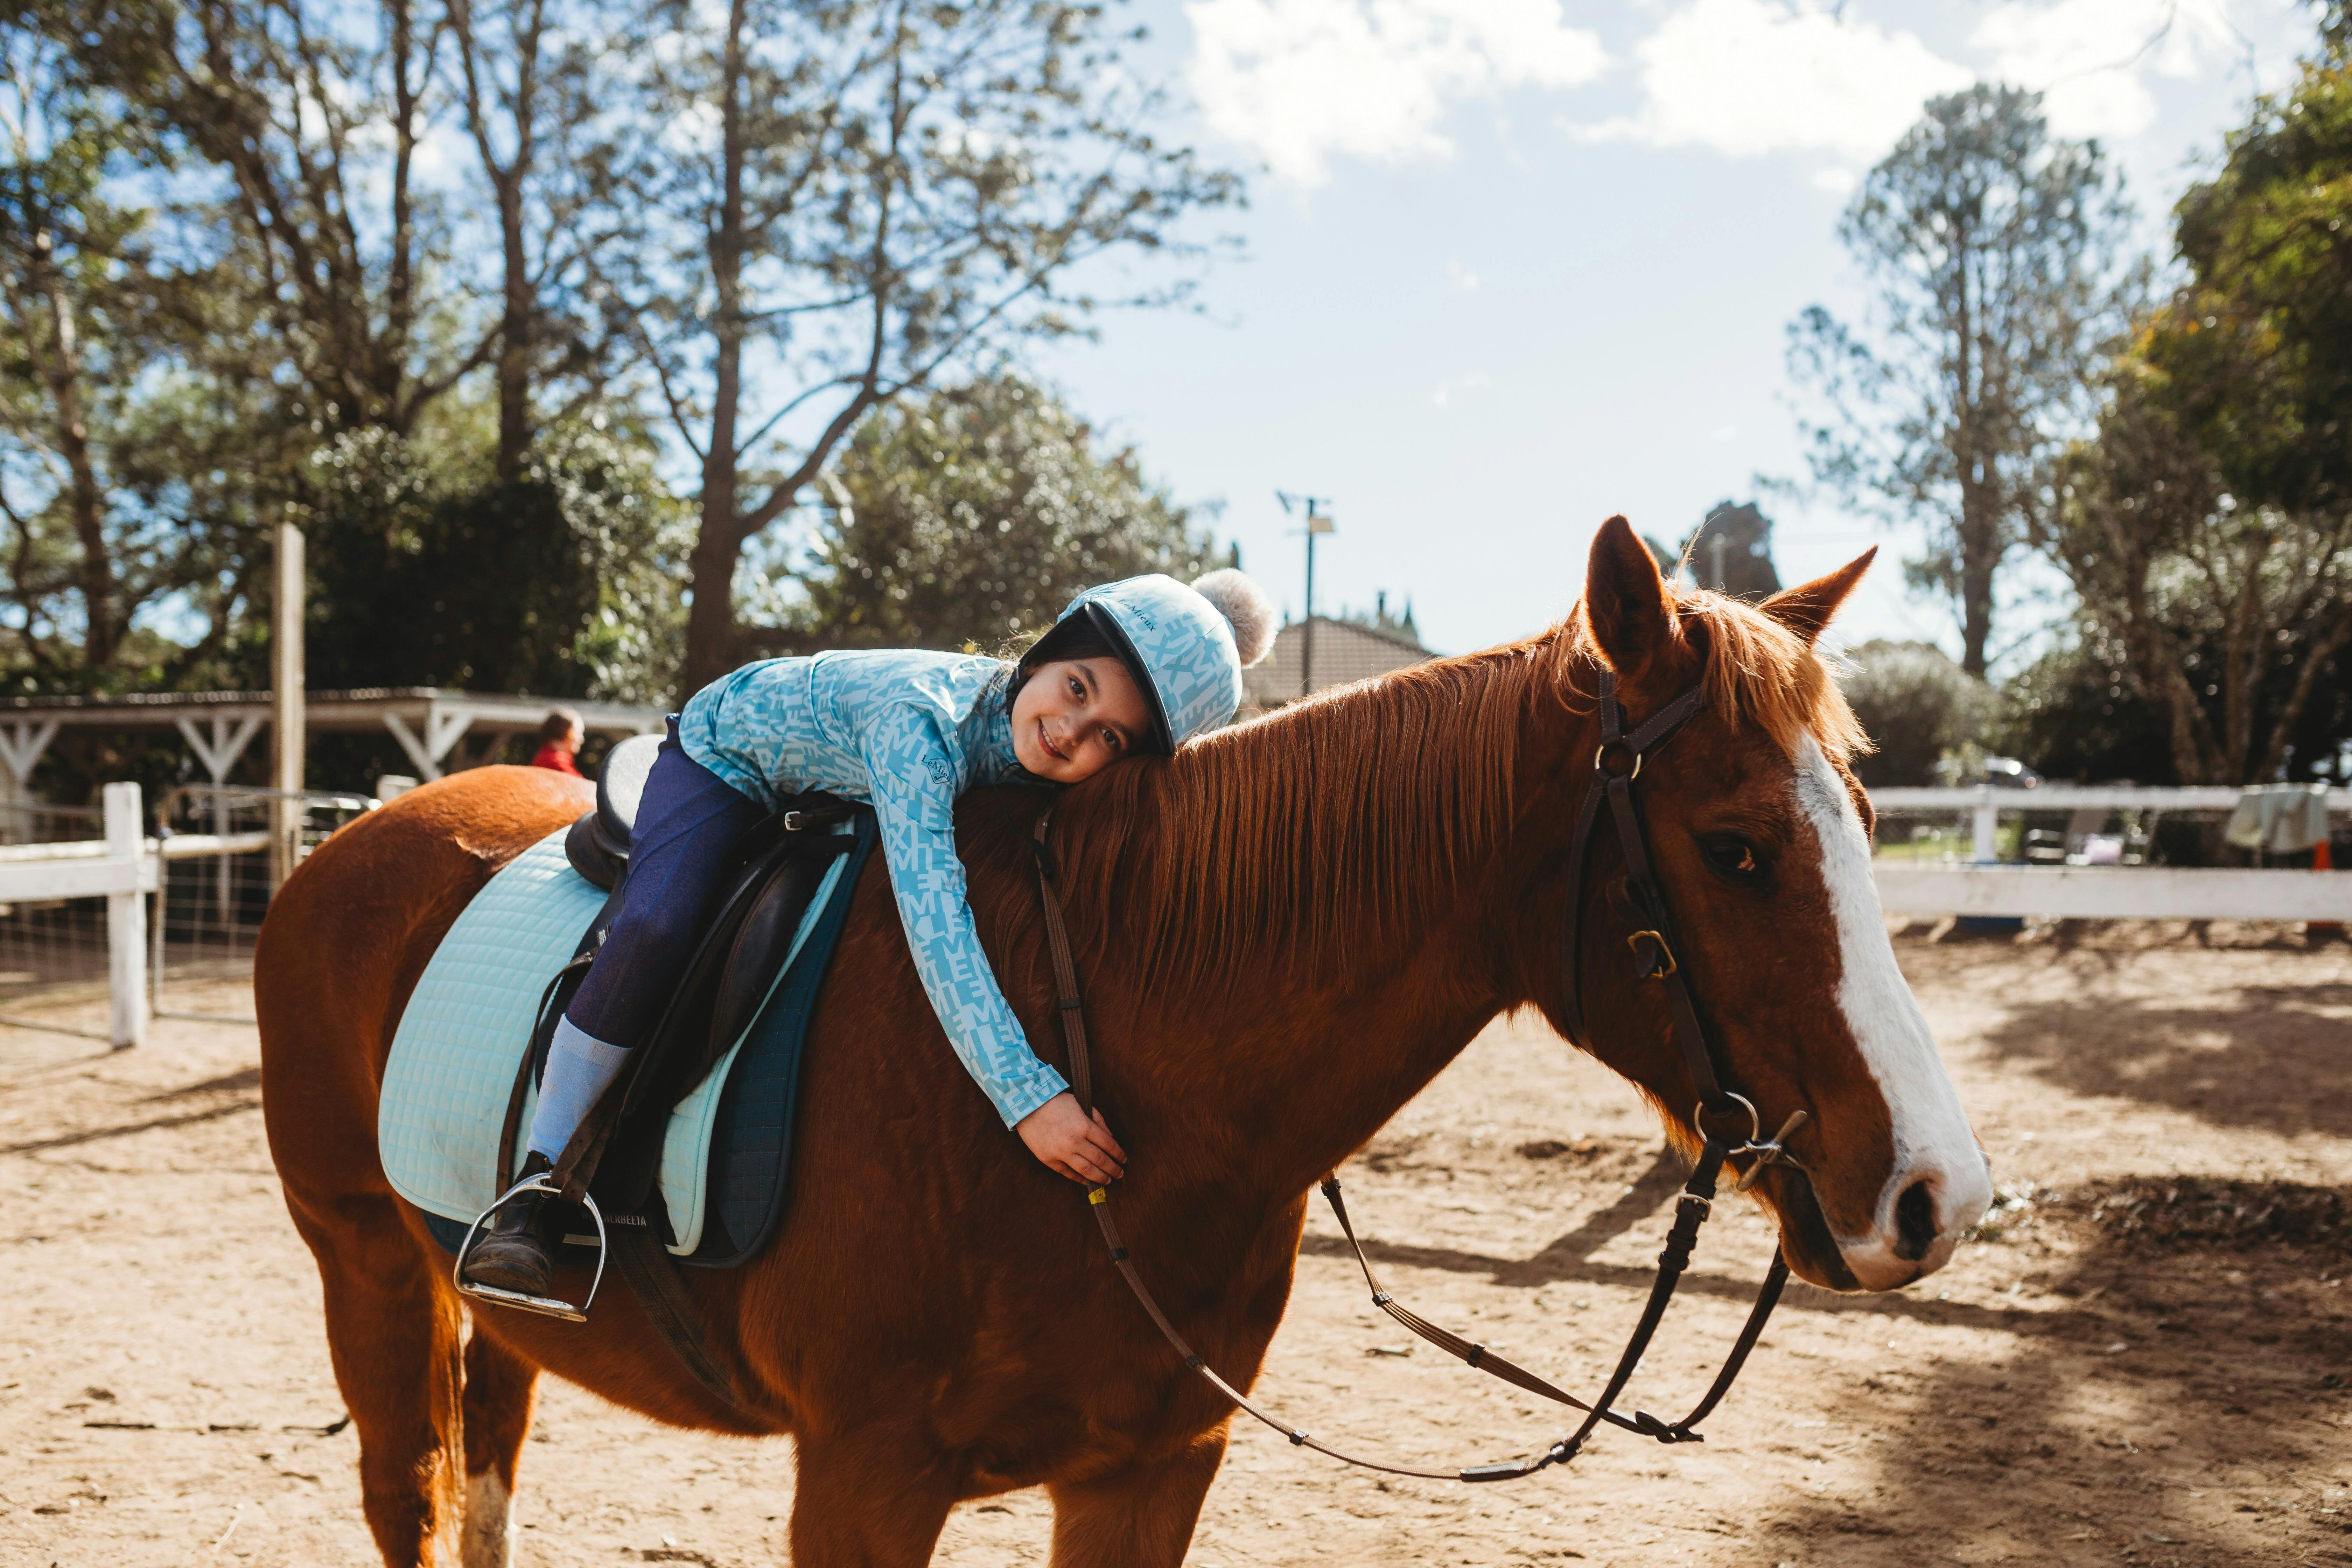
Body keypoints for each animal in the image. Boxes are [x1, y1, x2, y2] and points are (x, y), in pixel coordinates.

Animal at [255, 518, 1991, 1567]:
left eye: (1863, 817)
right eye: (1735, 847)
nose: (1939, 1195)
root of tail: (361, 834)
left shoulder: (1150, 1467)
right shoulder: (864, 1478)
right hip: (364, 1262)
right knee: (410, 1489)